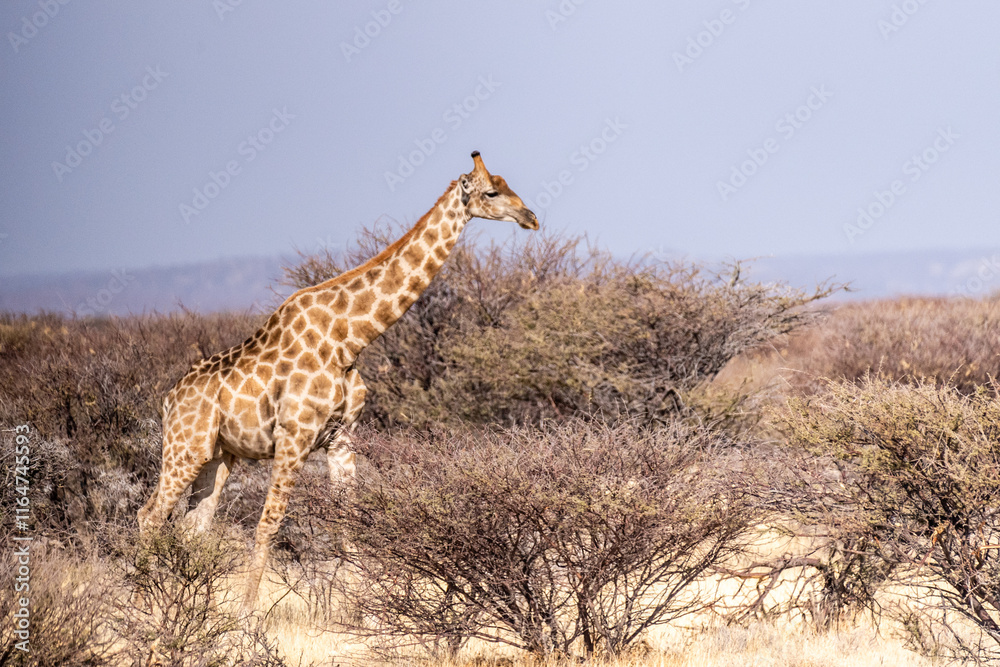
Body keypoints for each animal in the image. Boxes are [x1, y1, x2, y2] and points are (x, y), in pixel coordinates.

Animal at [137, 151, 538, 606]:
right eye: (491, 193)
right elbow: (268, 524)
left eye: (507, 185)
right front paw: (246, 613)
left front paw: (364, 614)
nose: (531, 217)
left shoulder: (342, 438)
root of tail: (168, 399)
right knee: (150, 515)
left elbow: (349, 527)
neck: (350, 339)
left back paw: (183, 604)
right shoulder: (293, 438)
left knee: (192, 525)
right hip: (184, 447)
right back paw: (145, 604)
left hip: (217, 455)